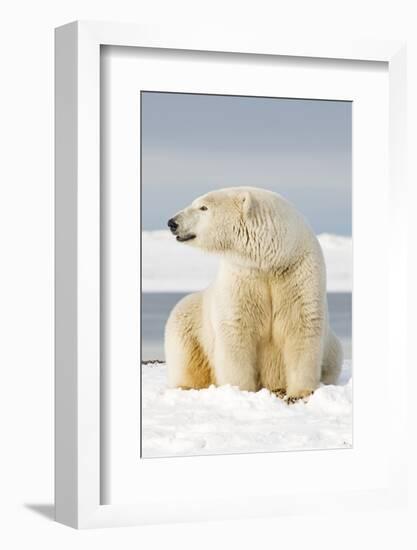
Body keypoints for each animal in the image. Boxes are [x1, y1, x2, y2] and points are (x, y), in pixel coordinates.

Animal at [163, 187, 342, 402]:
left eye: (203, 207)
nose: (172, 222)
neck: (272, 260)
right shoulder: (243, 277)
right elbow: (236, 330)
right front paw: (240, 391)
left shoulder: (298, 274)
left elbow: (301, 325)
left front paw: (300, 393)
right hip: (189, 319)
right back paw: (187, 386)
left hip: (333, 348)